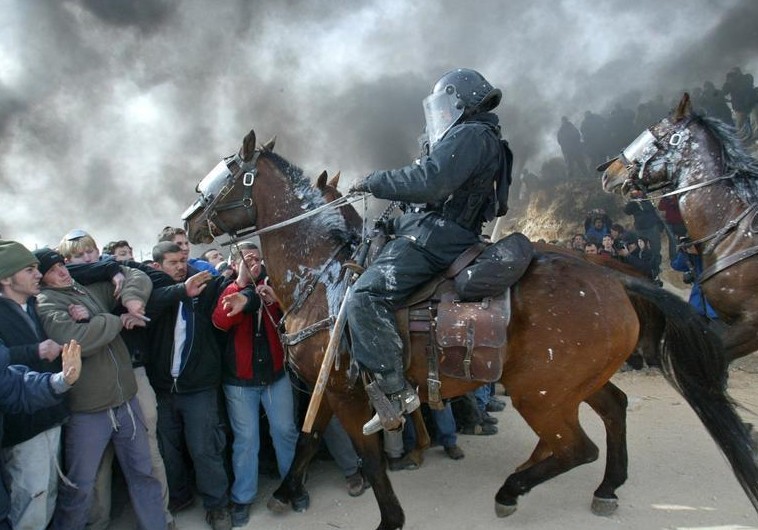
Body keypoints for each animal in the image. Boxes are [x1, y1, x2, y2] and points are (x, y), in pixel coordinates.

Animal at [183, 128, 758, 528]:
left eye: (223, 175)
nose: (187, 223)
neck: (319, 274)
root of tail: (614, 280)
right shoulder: (329, 391)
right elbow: (305, 441)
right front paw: (283, 493)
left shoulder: (348, 395)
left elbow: (369, 459)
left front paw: (390, 518)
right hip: (570, 383)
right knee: (611, 411)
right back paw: (604, 487)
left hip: (540, 393)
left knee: (576, 447)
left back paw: (512, 490)